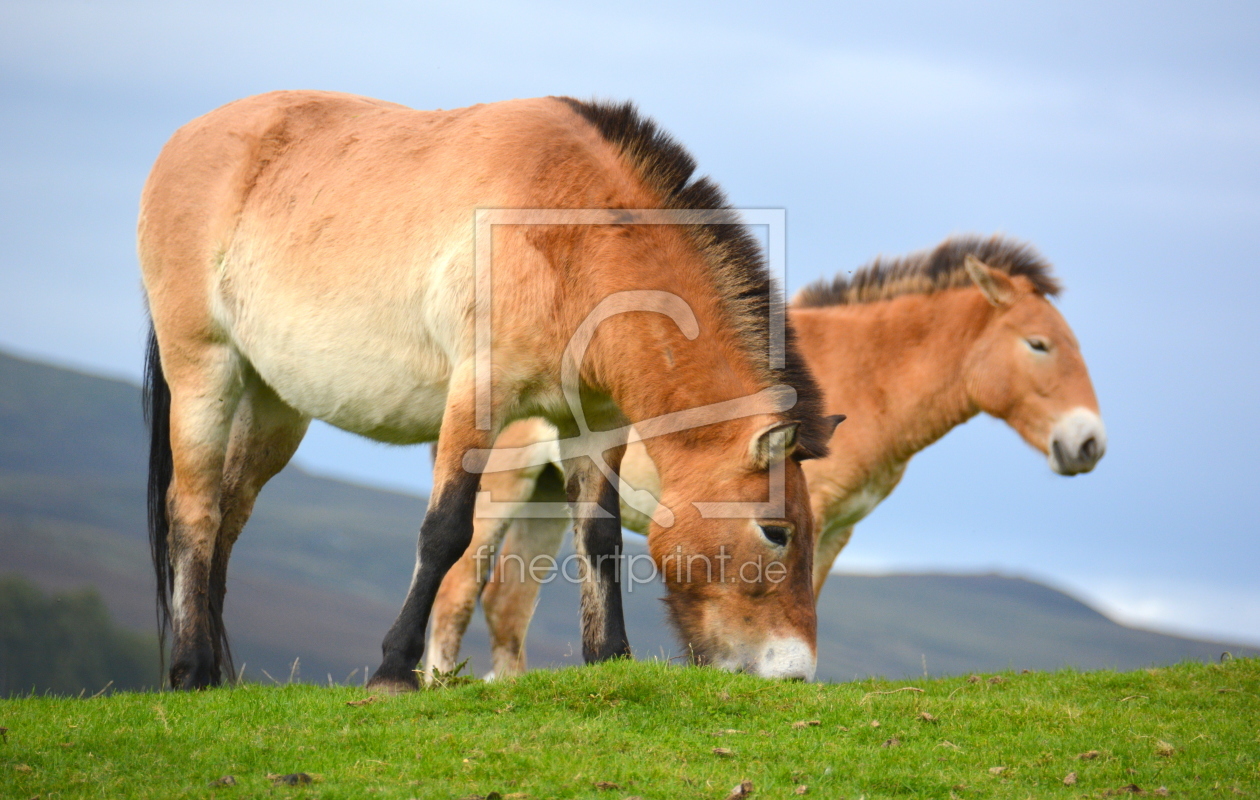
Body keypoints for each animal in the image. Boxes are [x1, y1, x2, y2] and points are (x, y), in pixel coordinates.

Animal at [137, 89, 836, 690]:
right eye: (776, 531)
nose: (794, 670)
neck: (568, 237)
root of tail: (183, 139)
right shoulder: (477, 394)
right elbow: (445, 529)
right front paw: (393, 670)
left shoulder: (596, 422)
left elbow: (601, 539)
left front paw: (609, 660)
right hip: (204, 369)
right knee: (194, 511)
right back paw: (191, 671)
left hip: (274, 405)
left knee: (230, 514)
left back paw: (217, 675)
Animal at [428, 234, 1108, 680]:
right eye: (1040, 345)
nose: (1089, 444)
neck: (866, 375)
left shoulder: (834, 529)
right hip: (503, 484)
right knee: (457, 591)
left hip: (551, 491)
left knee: (507, 606)